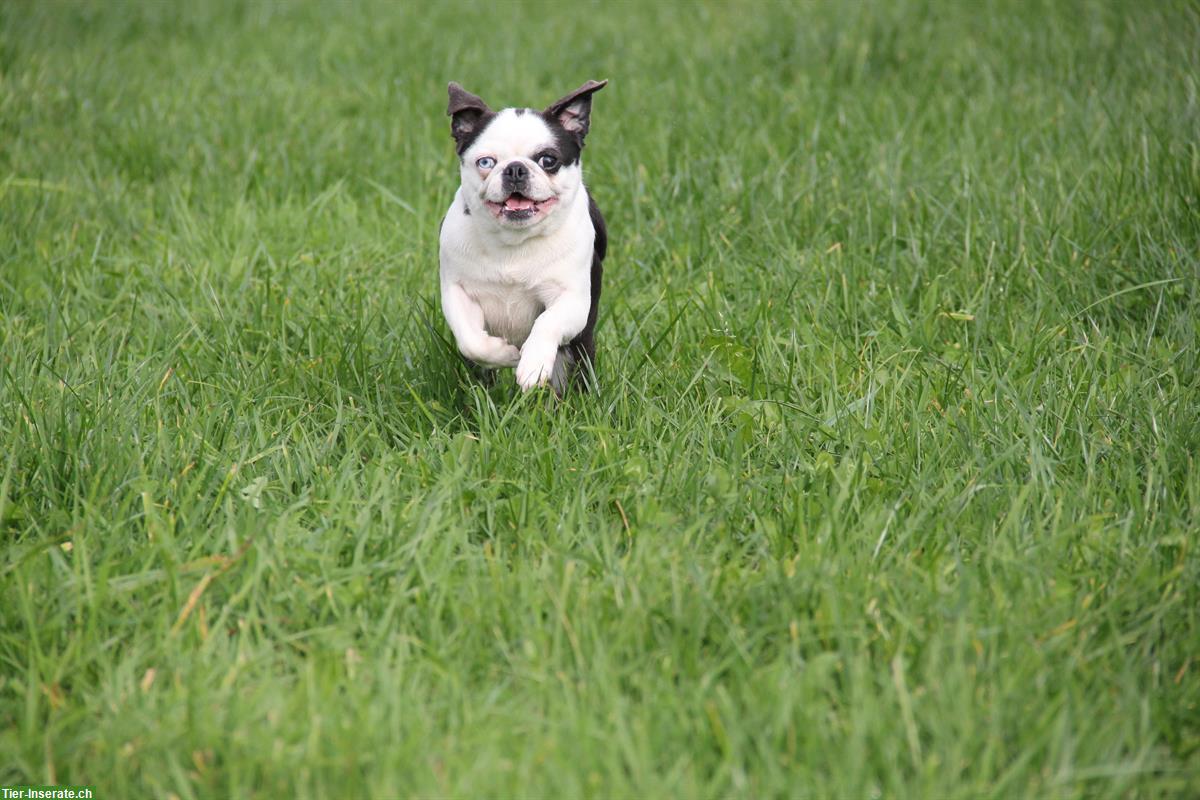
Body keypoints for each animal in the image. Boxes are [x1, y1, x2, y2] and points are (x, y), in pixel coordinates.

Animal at [439, 79, 609, 393]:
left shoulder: (573, 300)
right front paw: (504, 354)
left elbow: (547, 322)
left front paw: (533, 365)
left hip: (581, 342)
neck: (513, 243)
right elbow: (471, 341)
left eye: (548, 160)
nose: (515, 168)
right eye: (485, 162)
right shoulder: (458, 293)